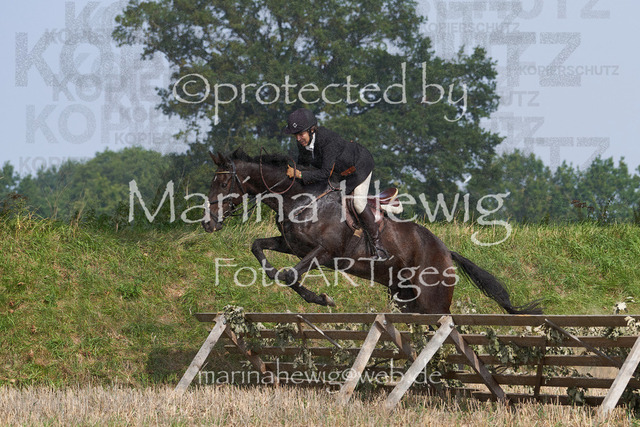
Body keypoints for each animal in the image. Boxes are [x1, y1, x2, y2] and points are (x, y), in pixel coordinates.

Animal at [201, 149, 542, 315]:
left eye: (223, 182)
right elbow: (258, 248)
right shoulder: (293, 246)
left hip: (433, 302)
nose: (208, 223)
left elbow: (291, 275)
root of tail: (446, 251)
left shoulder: (324, 252)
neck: (300, 198)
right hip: (404, 299)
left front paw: (322, 299)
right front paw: (283, 279)